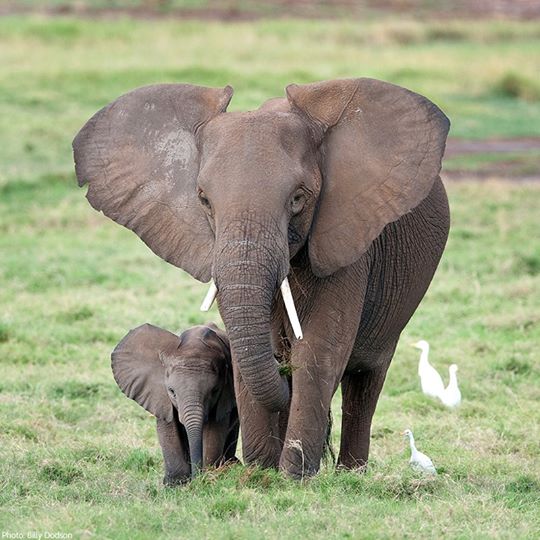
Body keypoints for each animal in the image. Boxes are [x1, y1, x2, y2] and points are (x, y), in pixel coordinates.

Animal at [112, 322, 238, 484]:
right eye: (171, 391)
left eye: (214, 391)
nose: (196, 478)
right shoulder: (161, 397)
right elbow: (168, 431)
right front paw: (175, 484)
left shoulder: (223, 398)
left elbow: (215, 432)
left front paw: (208, 478)